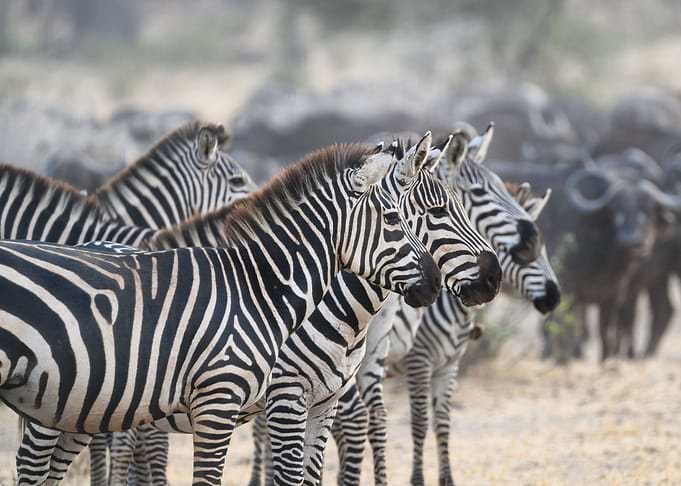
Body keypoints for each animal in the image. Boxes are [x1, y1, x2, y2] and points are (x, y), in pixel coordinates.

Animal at [0, 142, 441, 485]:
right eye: (393, 218)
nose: (435, 283)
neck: (258, 288)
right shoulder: (226, 399)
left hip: (80, 407)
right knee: (32, 465)